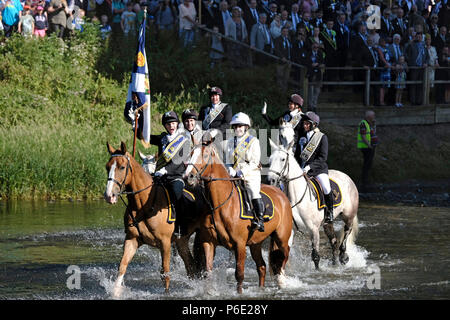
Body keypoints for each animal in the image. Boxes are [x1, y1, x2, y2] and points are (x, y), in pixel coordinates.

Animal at [104, 142, 201, 298]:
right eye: (107, 167)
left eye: (122, 167)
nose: (109, 195)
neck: (143, 204)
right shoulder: (132, 239)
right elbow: (122, 266)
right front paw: (116, 292)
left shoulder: (165, 243)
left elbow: (165, 273)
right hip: (182, 240)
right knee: (191, 266)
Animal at [184, 139, 294, 294]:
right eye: (191, 154)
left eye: (205, 155)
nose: (188, 177)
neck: (220, 204)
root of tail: (281, 194)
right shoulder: (208, 243)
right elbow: (208, 272)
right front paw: (209, 291)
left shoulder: (240, 244)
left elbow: (239, 274)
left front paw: (239, 293)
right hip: (255, 243)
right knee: (262, 266)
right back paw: (261, 289)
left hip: (281, 238)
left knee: (283, 257)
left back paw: (281, 279)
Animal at [268, 125, 358, 270]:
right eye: (270, 160)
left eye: (282, 159)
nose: (271, 180)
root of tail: (347, 176)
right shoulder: (291, 229)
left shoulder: (313, 229)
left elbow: (315, 256)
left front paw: (317, 271)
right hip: (327, 223)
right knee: (333, 241)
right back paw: (335, 263)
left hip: (348, 216)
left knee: (346, 232)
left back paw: (344, 257)